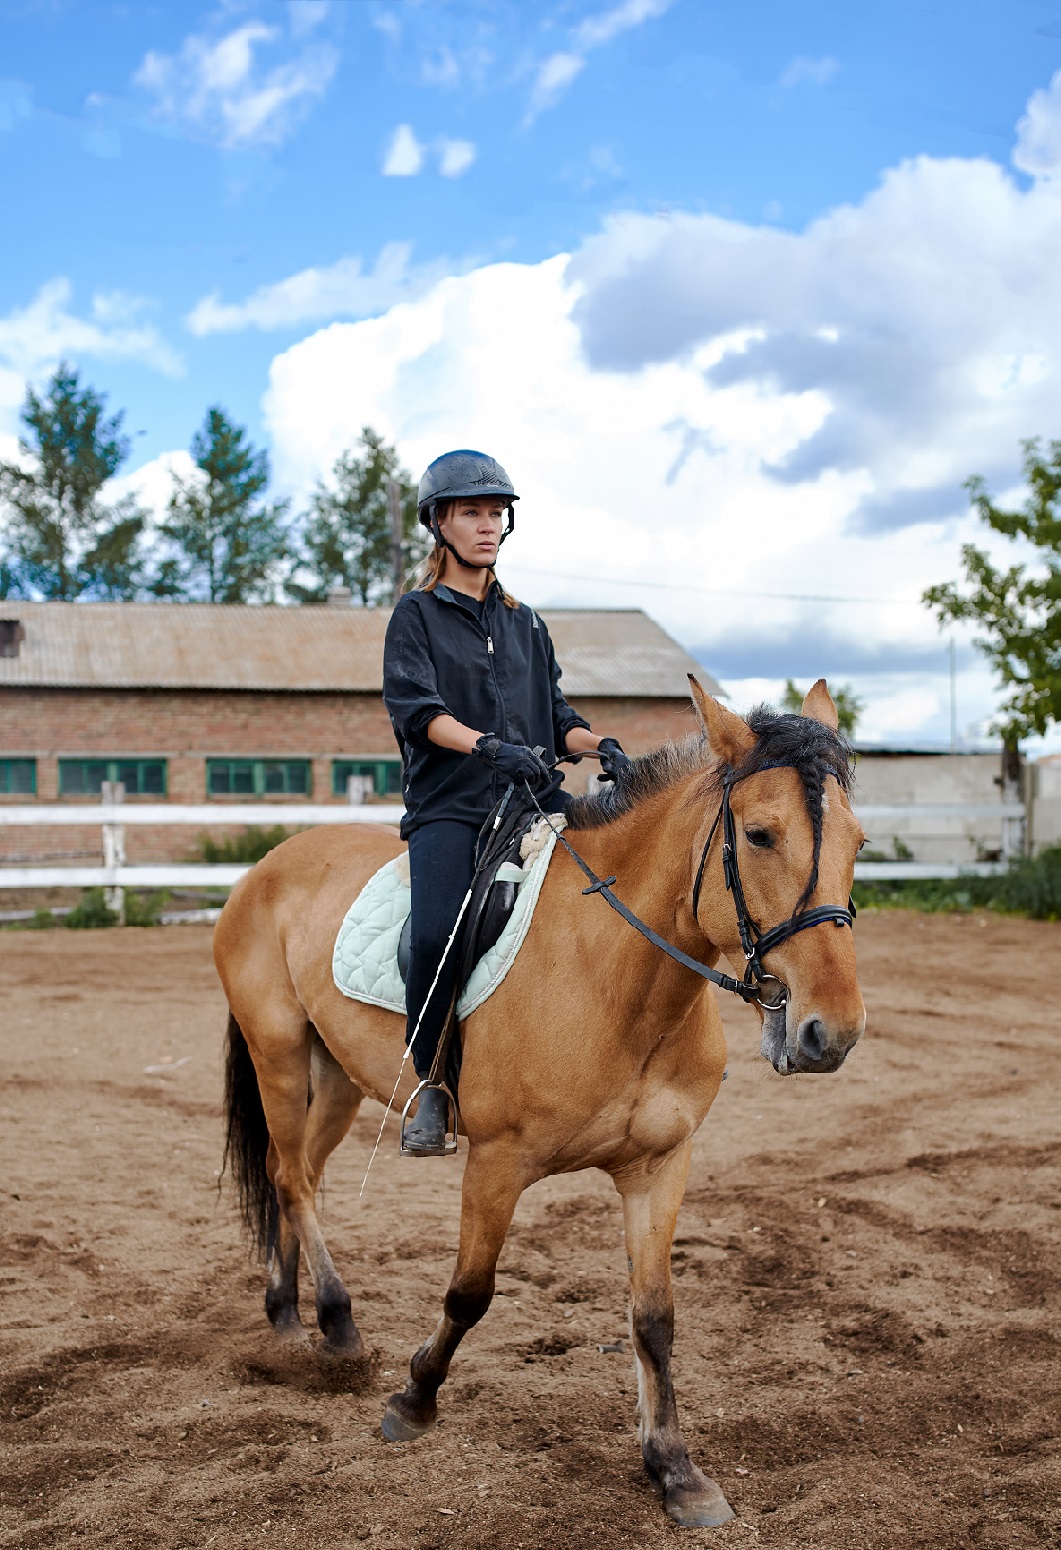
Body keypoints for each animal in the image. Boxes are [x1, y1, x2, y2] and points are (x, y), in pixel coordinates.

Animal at [213, 682, 861, 1525]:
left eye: (858, 842)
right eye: (757, 835)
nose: (831, 1033)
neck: (616, 980)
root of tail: (269, 863)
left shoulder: (660, 1164)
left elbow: (653, 1317)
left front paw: (675, 1469)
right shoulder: (496, 1163)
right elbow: (469, 1293)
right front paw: (413, 1399)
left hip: (338, 1078)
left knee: (294, 1176)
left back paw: (288, 1317)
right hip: (281, 1055)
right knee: (291, 1179)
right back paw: (337, 1323)